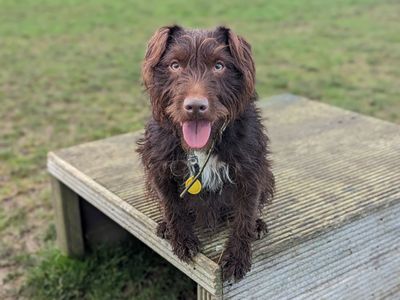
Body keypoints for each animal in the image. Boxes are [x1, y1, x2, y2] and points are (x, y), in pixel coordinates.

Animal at [138, 25, 276, 282]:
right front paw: (181, 239)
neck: (202, 147)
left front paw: (237, 255)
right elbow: (172, 206)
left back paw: (258, 225)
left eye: (219, 65)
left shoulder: (251, 171)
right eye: (175, 65)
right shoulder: (159, 167)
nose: (195, 107)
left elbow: (245, 215)